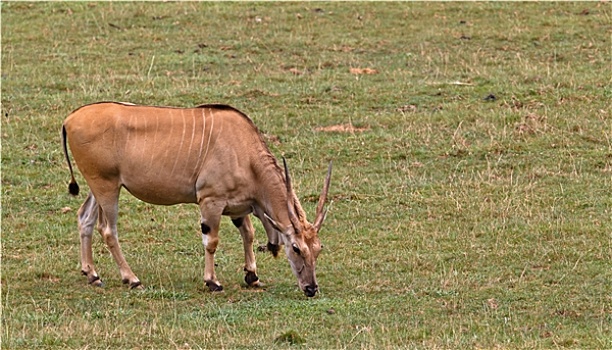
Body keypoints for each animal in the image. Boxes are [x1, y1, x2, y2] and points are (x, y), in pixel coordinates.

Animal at [62, 102, 332, 296]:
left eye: (318, 249)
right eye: (296, 248)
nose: (311, 288)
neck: (245, 151)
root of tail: (70, 119)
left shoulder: (238, 208)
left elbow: (248, 234)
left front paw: (252, 276)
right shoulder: (211, 201)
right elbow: (211, 241)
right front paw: (213, 282)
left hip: (100, 187)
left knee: (85, 219)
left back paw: (92, 274)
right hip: (107, 188)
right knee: (108, 230)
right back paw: (132, 279)